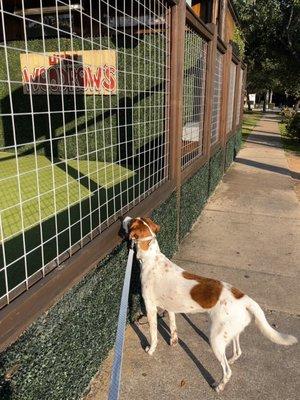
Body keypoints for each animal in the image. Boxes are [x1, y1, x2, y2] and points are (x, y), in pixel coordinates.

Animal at [122, 216, 298, 390]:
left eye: (131, 222)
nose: (124, 217)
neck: (152, 258)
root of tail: (245, 298)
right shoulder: (170, 307)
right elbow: (173, 326)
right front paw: (173, 341)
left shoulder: (150, 307)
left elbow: (153, 334)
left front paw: (150, 350)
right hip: (231, 332)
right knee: (237, 352)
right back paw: (231, 360)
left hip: (216, 338)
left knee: (227, 371)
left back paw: (219, 386)